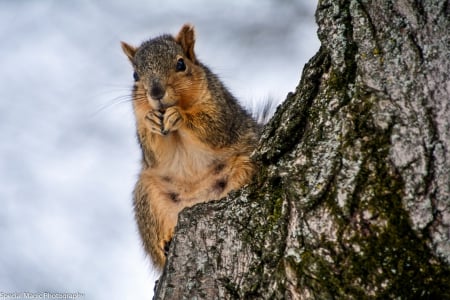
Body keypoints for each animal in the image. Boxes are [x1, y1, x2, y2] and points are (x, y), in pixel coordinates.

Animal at [120, 24, 260, 270]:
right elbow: (153, 153)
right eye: (135, 75)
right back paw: (166, 241)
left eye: (181, 64)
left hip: (243, 167)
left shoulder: (221, 109)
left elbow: (214, 129)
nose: (155, 93)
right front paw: (151, 121)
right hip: (148, 197)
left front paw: (180, 116)